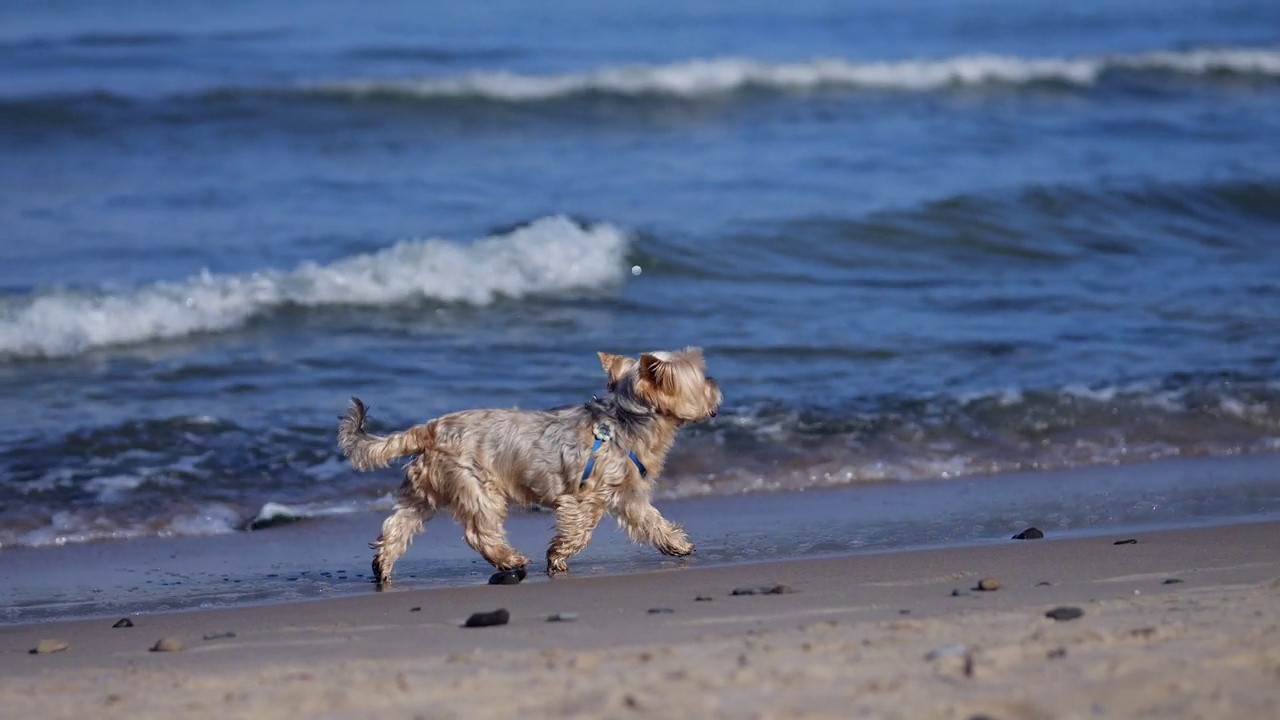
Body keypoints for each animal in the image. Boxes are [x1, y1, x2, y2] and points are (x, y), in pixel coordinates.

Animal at [337, 345, 721, 584]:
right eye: (700, 375)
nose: (715, 382)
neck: (626, 421)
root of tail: (430, 428)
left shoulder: (628, 495)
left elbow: (650, 520)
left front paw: (676, 544)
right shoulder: (585, 496)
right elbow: (581, 529)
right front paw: (558, 555)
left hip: (424, 489)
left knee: (398, 525)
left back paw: (383, 567)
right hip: (476, 485)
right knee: (479, 531)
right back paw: (510, 560)